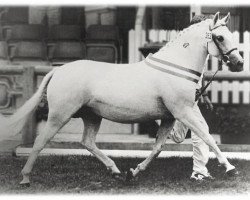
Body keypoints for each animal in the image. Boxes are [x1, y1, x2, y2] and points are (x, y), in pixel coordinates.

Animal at [0, 12, 242, 185]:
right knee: (41, 142)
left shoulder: (170, 117)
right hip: (59, 115)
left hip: (92, 116)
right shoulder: (183, 112)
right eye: (220, 37)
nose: (239, 63)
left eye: (231, 35)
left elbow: (158, 148)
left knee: (87, 142)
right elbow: (208, 137)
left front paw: (134, 172)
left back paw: (116, 171)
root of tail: (58, 70)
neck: (175, 67)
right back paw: (25, 178)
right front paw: (230, 168)